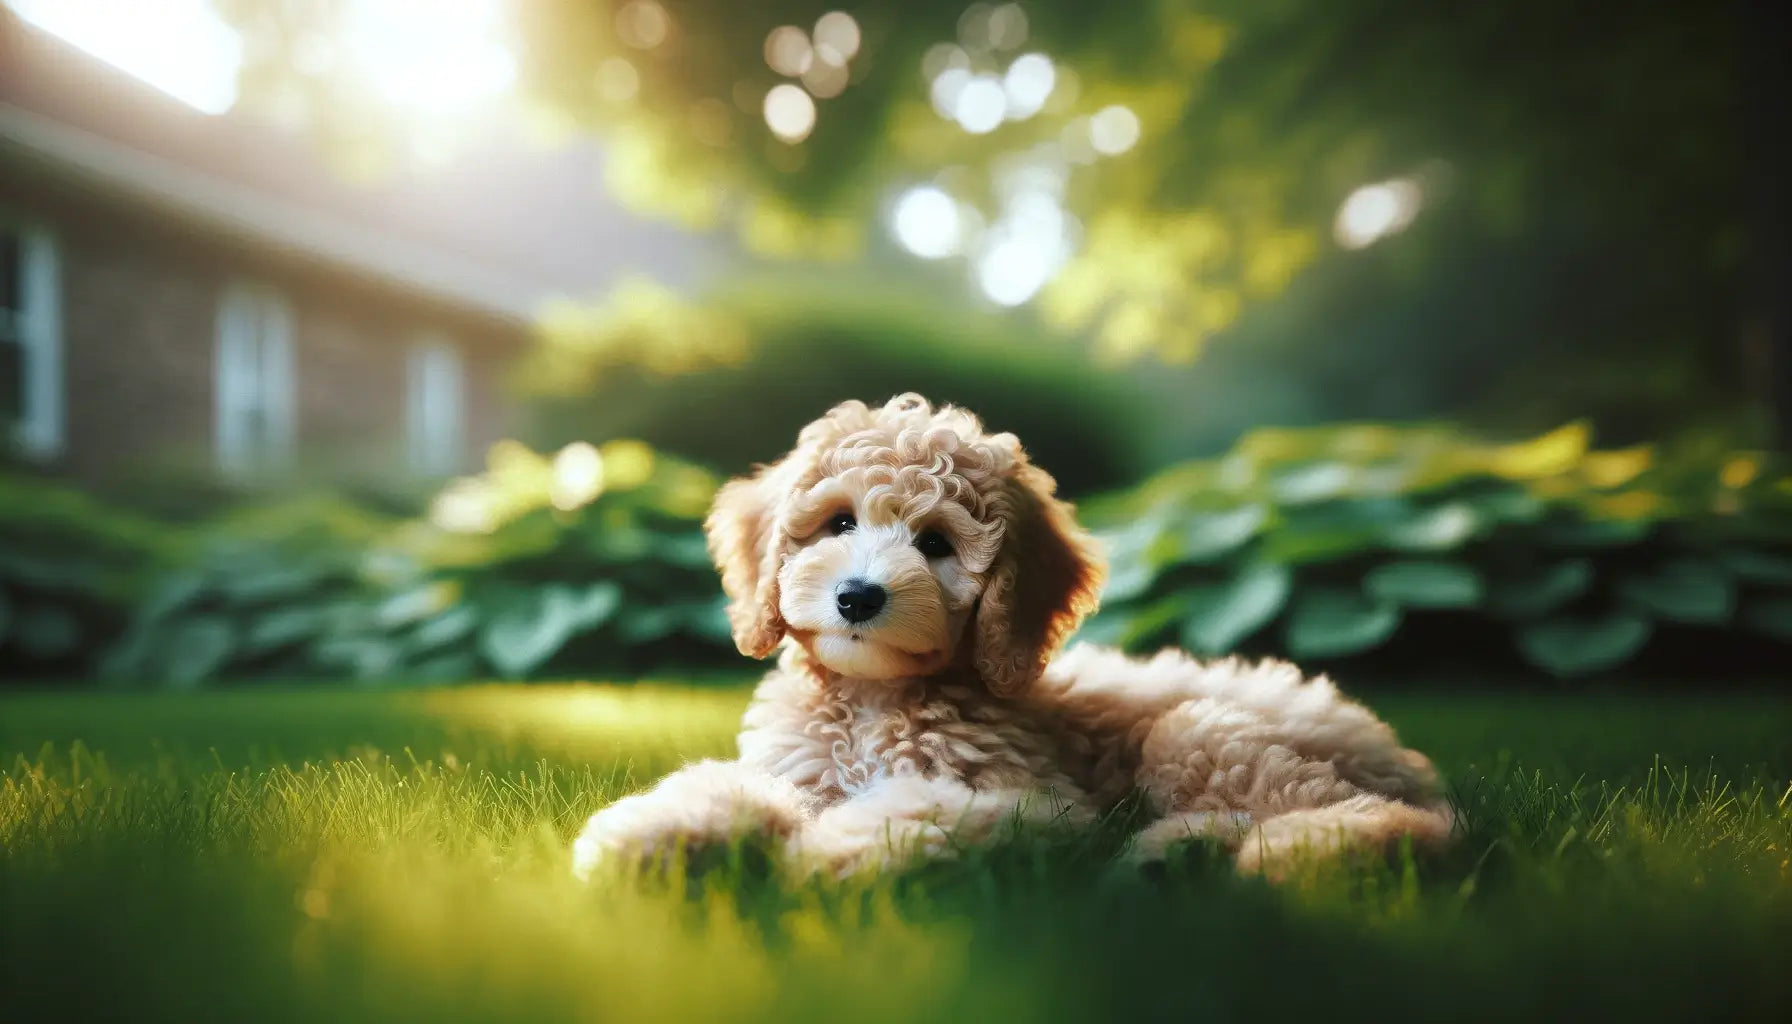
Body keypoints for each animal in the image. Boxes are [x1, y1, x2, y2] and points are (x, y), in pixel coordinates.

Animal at [577, 394, 1455, 882]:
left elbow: (914, 810)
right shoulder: (796, 770)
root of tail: (1397, 751)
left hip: (1200, 730)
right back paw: (1177, 855)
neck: (873, 699)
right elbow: (730, 788)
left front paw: (833, 853)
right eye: (838, 523)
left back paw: (1293, 854)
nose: (858, 596)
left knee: (1396, 824)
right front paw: (652, 833)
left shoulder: (1035, 801)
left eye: (934, 543)